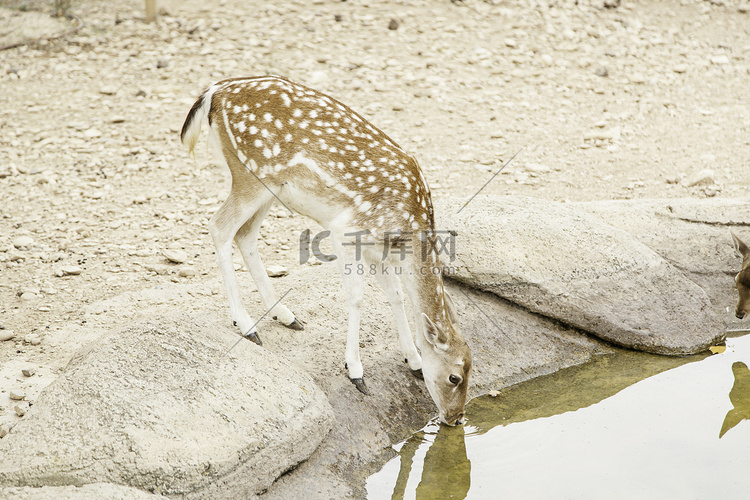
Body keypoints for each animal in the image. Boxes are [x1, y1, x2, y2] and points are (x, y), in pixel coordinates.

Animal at [181, 77, 472, 426]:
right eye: (455, 376)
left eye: (473, 370)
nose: (456, 418)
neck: (409, 229)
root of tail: (214, 92)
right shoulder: (346, 230)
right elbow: (358, 296)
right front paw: (355, 371)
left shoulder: (377, 248)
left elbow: (396, 295)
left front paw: (413, 360)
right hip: (250, 172)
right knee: (220, 227)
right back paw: (247, 325)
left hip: (269, 188)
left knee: (245, 235)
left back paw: (286, 316)